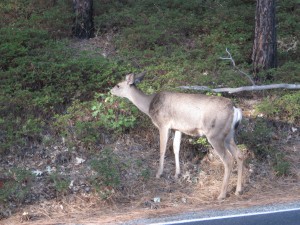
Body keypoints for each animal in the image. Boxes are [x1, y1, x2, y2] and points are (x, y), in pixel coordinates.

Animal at [110, 71, 244, 199]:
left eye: (118, 85)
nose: (110, 90)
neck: (149, 105)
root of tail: (235, 108)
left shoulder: (163, 124)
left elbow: (162, 149)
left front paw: (159, 173)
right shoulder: (177, 128)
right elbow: (176, 148)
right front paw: (177, 174)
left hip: (215, 134)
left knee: (228, 160)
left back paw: (222, 194)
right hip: (228, 135)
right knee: (239, 155)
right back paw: (238, 190)